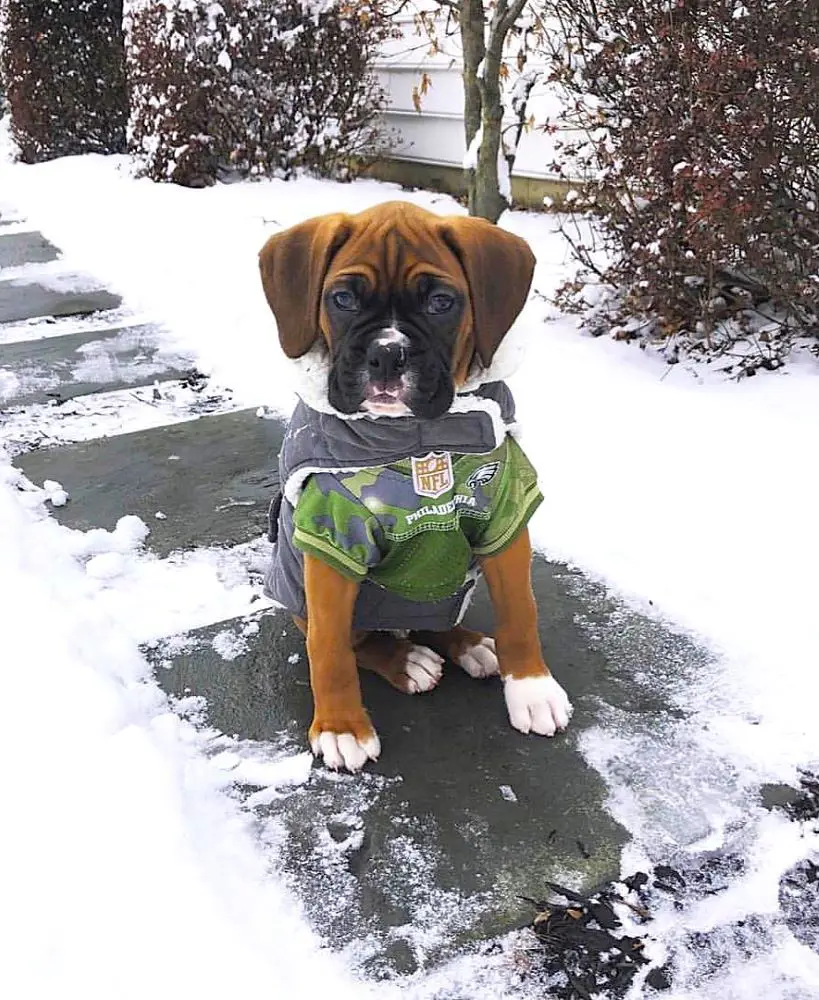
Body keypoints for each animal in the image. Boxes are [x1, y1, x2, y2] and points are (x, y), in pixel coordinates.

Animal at [258, 201, 572, 772]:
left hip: (449, 588)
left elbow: (521, 610)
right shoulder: (330, 543)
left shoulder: (506, 519)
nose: (387, 355)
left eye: (441, 303)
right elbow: (329, 648)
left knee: (435, 617)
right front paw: (341, 727)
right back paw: (405, 660)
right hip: (306, 601)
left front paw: (532, 687)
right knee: (356, 641)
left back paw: (468, 644)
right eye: (342, 299)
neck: (417, 440)